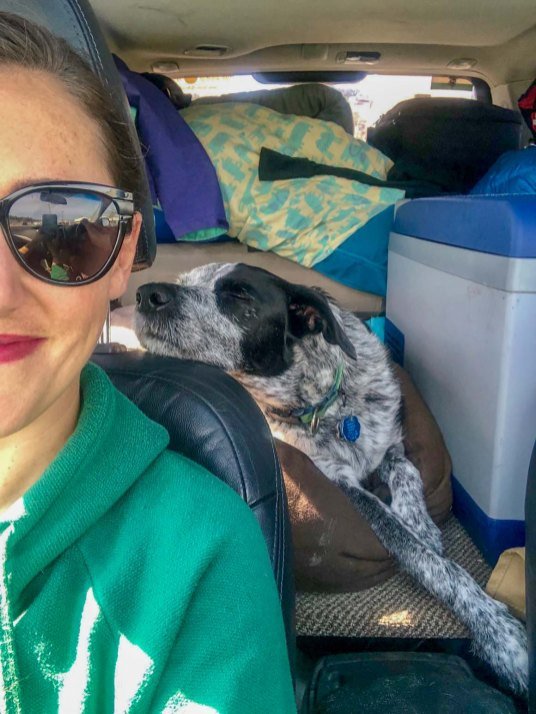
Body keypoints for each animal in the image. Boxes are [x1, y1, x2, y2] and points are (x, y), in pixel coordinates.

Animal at [133, 262, 528, 696]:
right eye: (184, 283)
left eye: (238, 294)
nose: (147, 293)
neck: (324, 400)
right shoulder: (340, 483)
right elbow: (421, 556)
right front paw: (501, 636)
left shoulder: (387, 442)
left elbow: (407, 471)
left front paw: (422, 523)